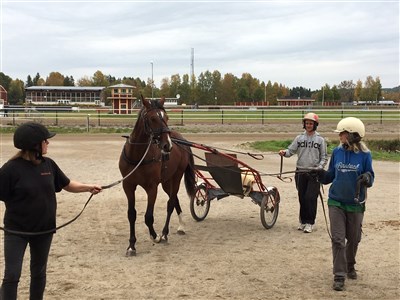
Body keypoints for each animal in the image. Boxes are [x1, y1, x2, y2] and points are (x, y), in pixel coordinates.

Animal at [118, 95, 196, 255]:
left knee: (171, 203)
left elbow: (148, 217)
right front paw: (131, 245)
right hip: (166, 182)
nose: (167, 145)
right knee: (174, 200)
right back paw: (181, 226)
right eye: (153, 118)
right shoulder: (128, 185)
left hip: (176, 177)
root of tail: (181, 140)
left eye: (166, 117)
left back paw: (165, 233)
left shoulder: (152, 188)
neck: (137, 156)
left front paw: (155, 236)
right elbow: (131, 214)